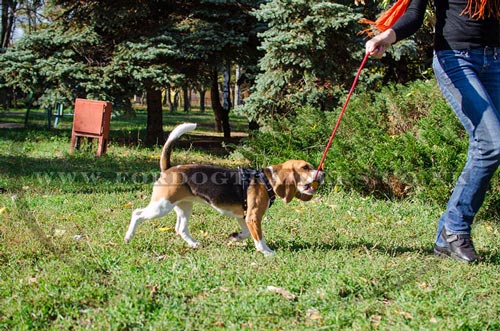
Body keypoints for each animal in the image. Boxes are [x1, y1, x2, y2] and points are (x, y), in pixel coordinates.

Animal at [125, 123, 324, 255]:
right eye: (305, 167)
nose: (322, 173)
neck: (266, 180)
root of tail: (169, 168)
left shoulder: (244, 217)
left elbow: (246, 233)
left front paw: (235, 237)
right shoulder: (253, 217)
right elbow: (259, 237)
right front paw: (267, 252)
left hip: (184, 206)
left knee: (180, 228)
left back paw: (194, 244)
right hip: (162, 206)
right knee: (137, 213)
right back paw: (128, 237)